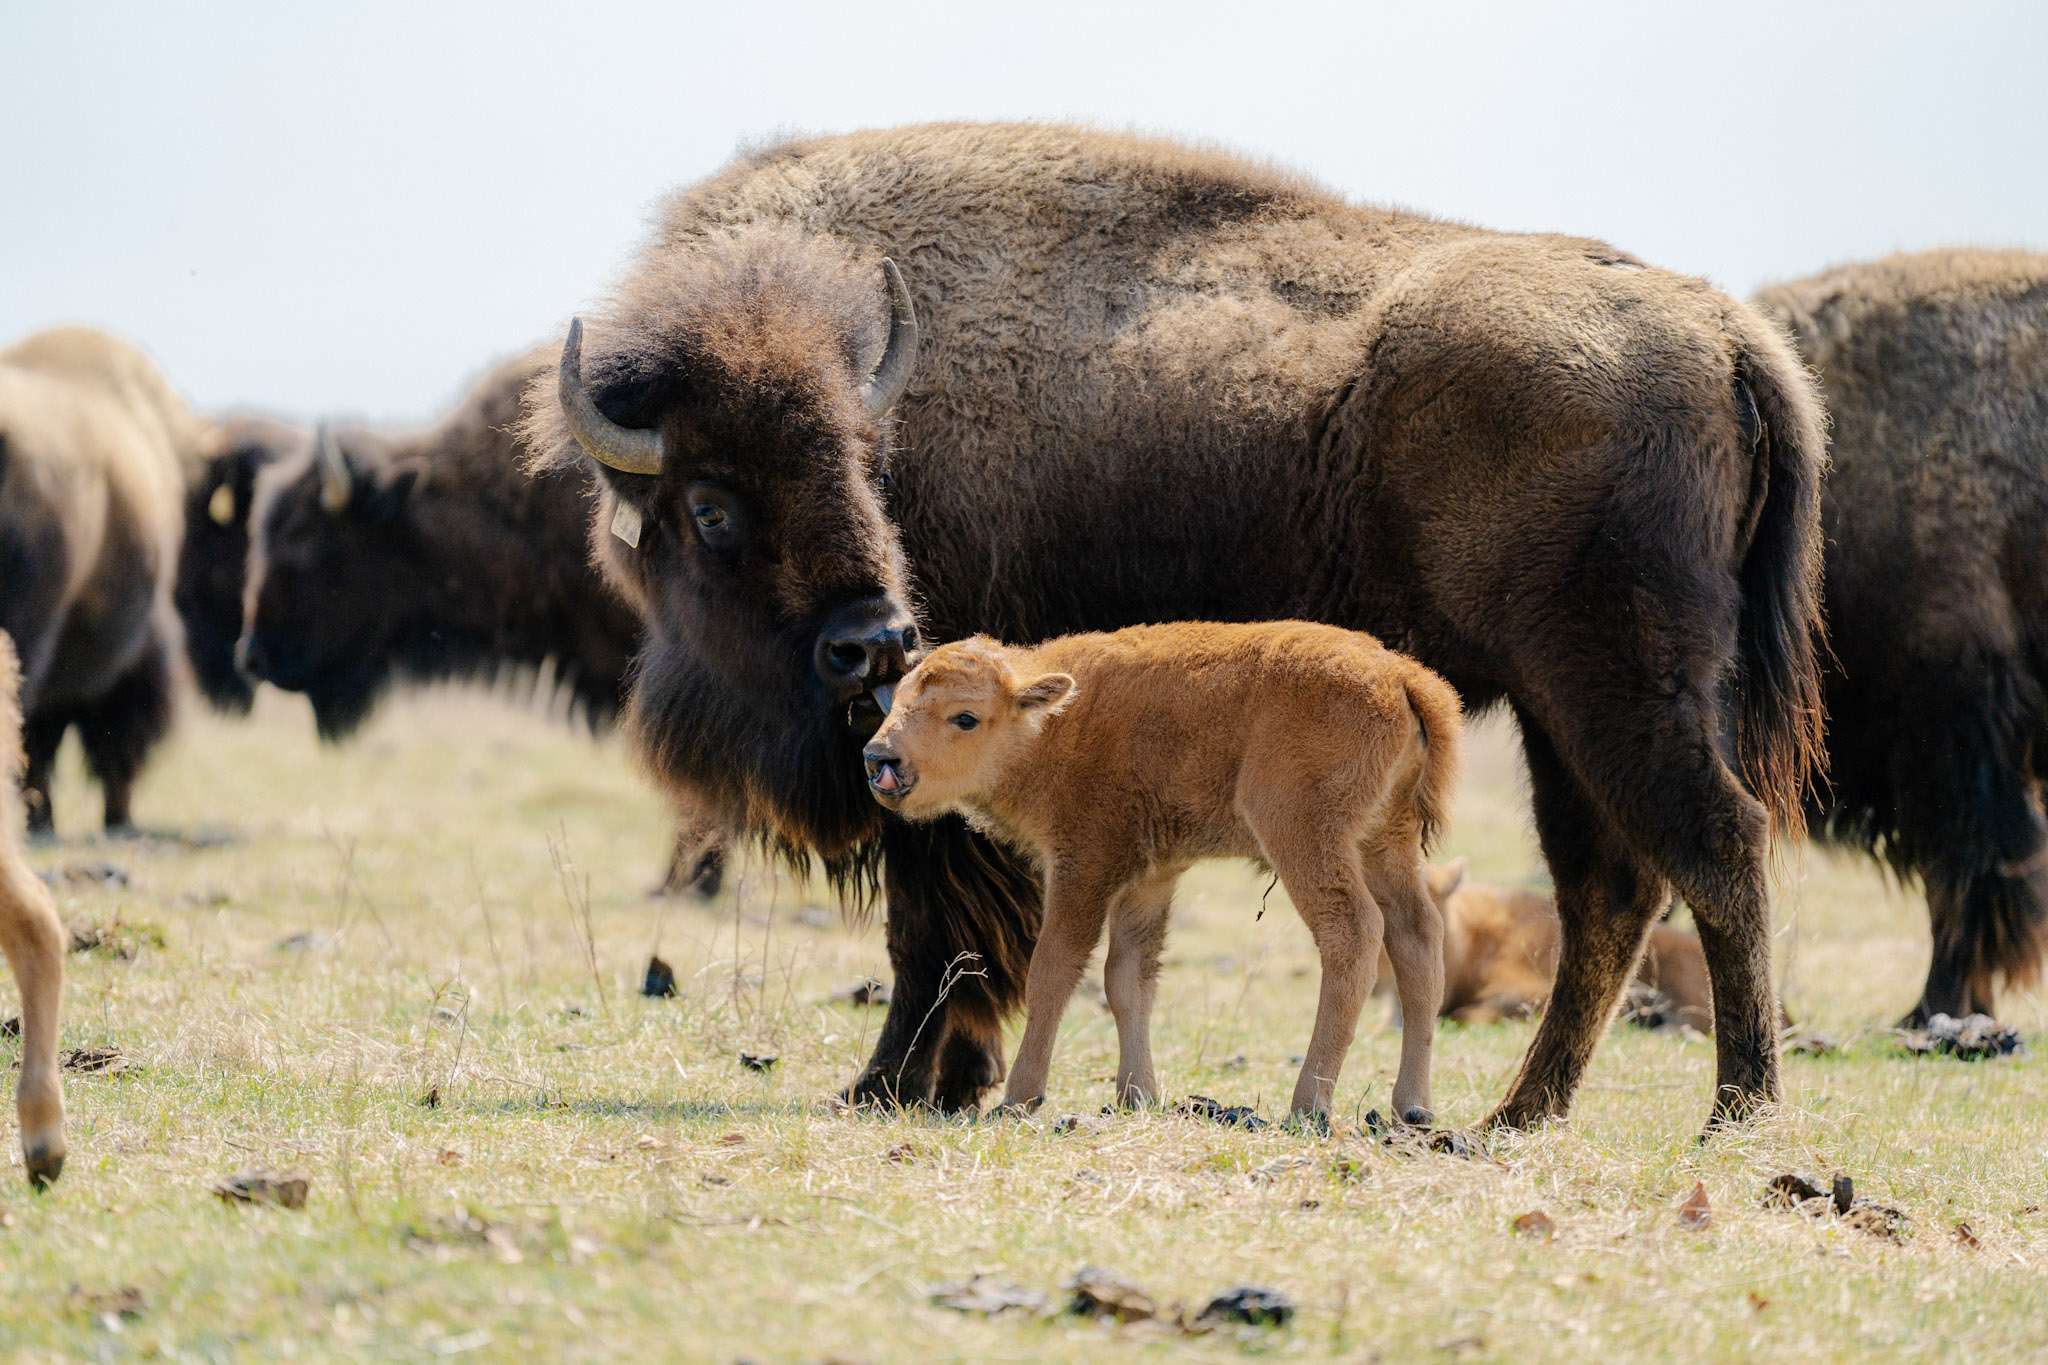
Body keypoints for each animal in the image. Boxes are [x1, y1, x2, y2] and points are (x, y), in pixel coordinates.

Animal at [524, 123, 1827, 1130]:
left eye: (864, 463)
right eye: (710, 501)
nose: (870, 646)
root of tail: (1721, 330)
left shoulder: (943, 800)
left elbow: (931, 935)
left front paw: (889, 1085)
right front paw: (947, 1080)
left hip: (1609, 692)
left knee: (1712, 846)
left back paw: (1734, 1110)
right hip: (1563, 719)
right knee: (1609, 885)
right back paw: (1520, 1111)